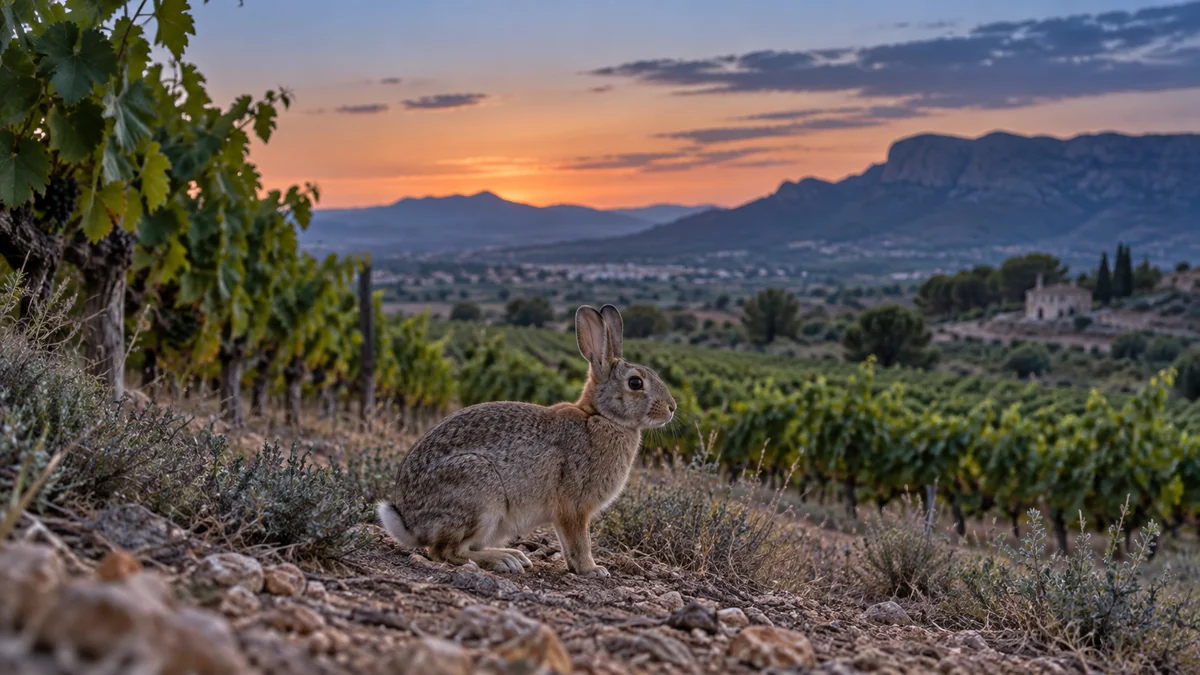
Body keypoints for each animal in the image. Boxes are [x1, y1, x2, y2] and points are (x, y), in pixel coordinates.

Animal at [377, 304, 676, 577]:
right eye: (635, 383)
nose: (672, 408)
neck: (600, 416)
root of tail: (409, 522)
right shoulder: (574, 507)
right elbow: (580, 541)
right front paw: (592, 569)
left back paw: (513, 555)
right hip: (481, 495)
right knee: (444, 551)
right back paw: (503, 560)